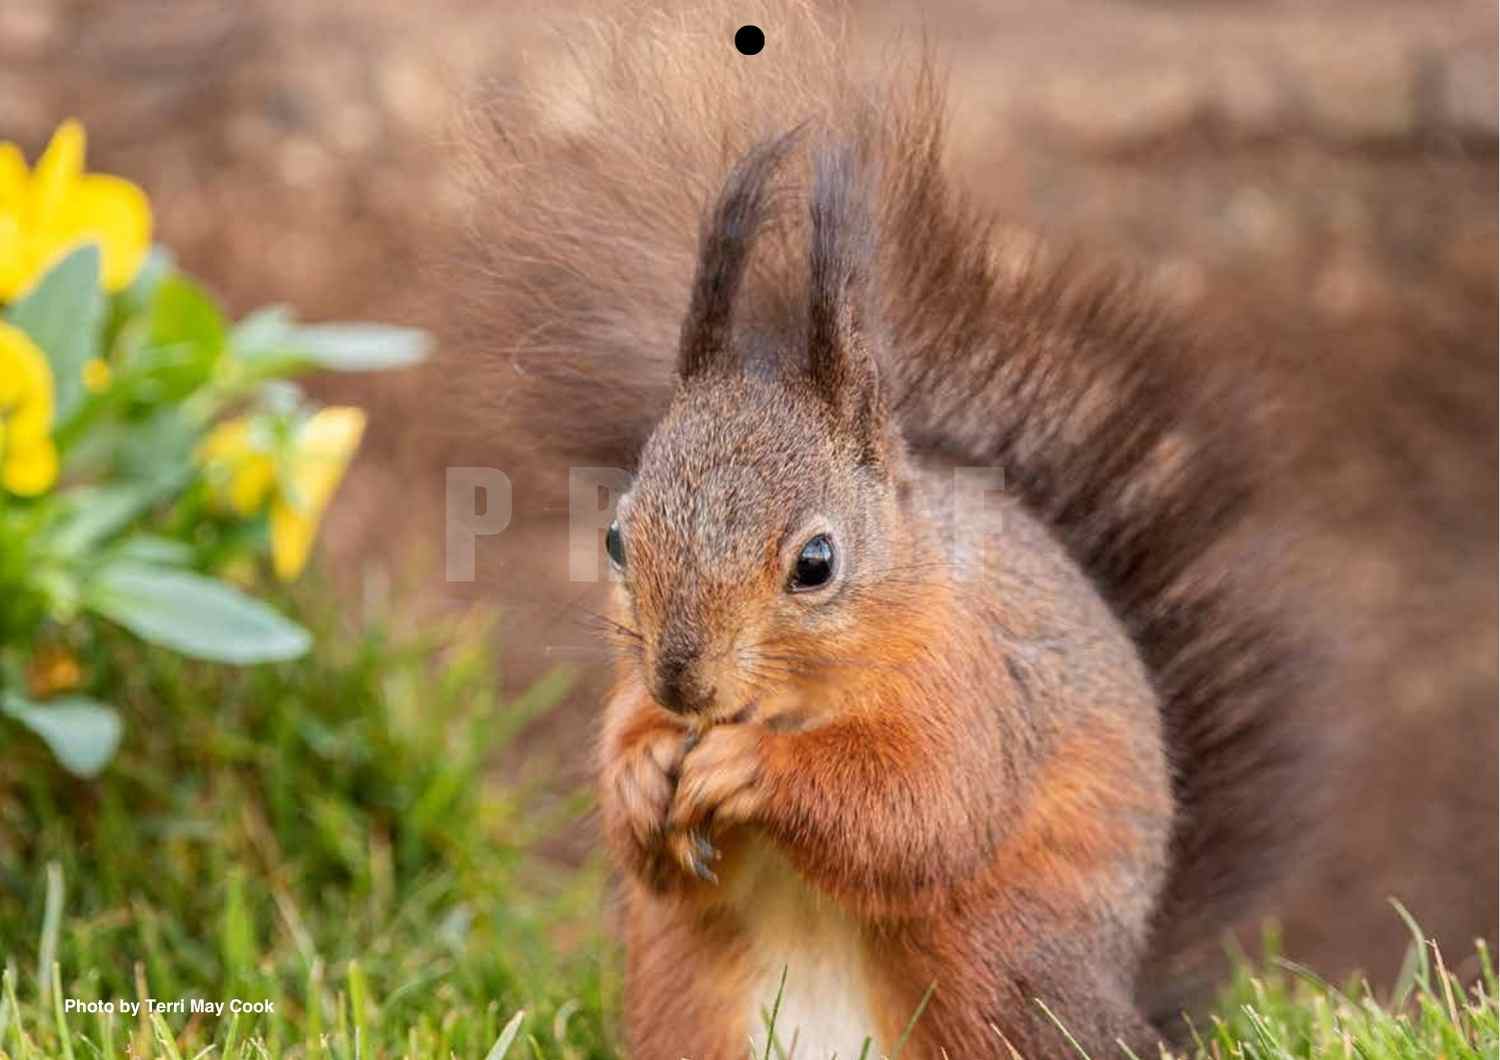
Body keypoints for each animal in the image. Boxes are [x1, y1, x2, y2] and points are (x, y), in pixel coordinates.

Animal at [450, 2, 1326, 1056]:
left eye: (817, 563)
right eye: (618, 540)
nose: (680, 682)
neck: (790, 700)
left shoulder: (967, 687)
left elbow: (918, 810)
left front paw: (751, 768)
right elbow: (639, 812)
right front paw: (643, 771)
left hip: (993, 963)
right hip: (684, 992)